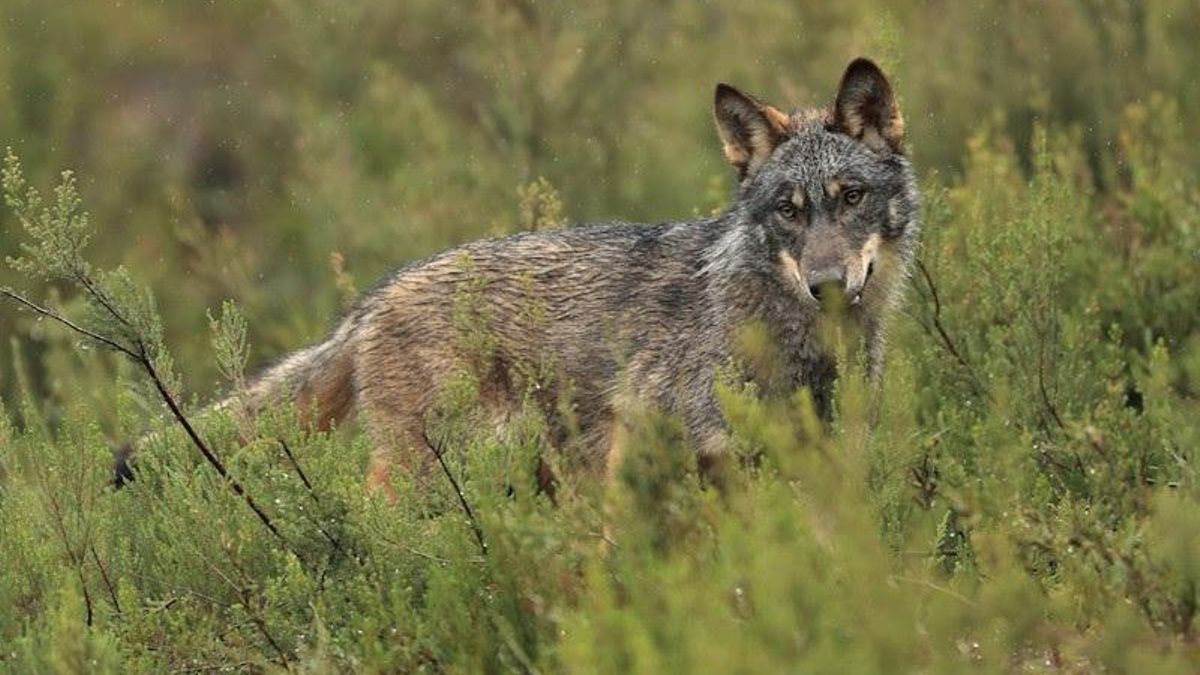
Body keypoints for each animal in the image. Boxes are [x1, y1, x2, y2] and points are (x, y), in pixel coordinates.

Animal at [118, 58, 919, 493]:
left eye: (851, 197)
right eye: (788, 211)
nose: (826, 284)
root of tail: (371, 299)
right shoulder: (653, 447)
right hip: (435, 469)